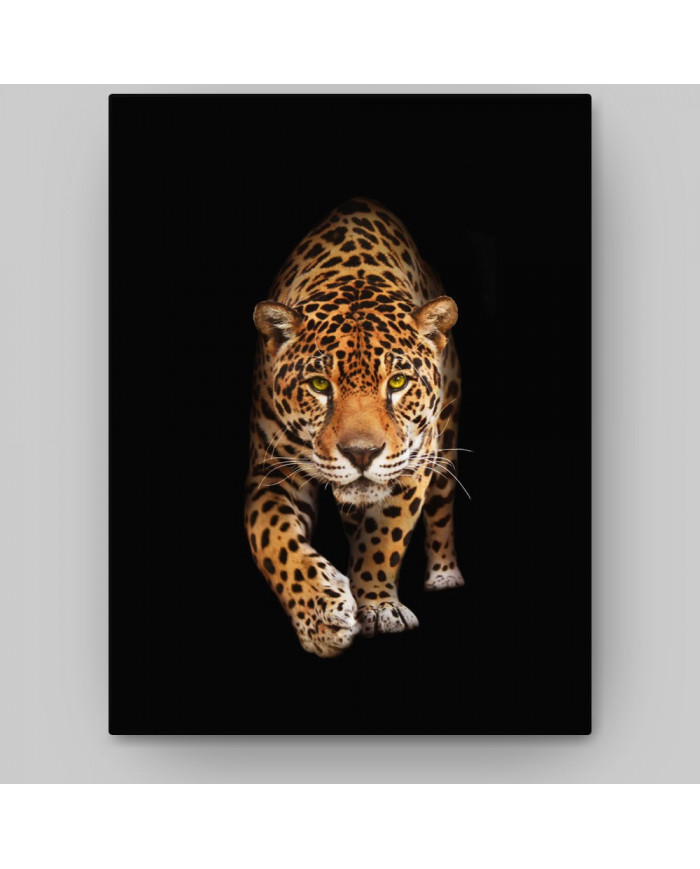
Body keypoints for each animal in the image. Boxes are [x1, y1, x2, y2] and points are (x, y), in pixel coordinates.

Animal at [244, 197, 464, 658]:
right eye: (318, 385)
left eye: (397, 383)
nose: (361, 453)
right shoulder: (270, 471)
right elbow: (274, 541)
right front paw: (322, 618)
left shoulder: (415, 462)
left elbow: (385, 535)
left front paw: (378, 606)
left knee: (441, 508)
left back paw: (444, 575)